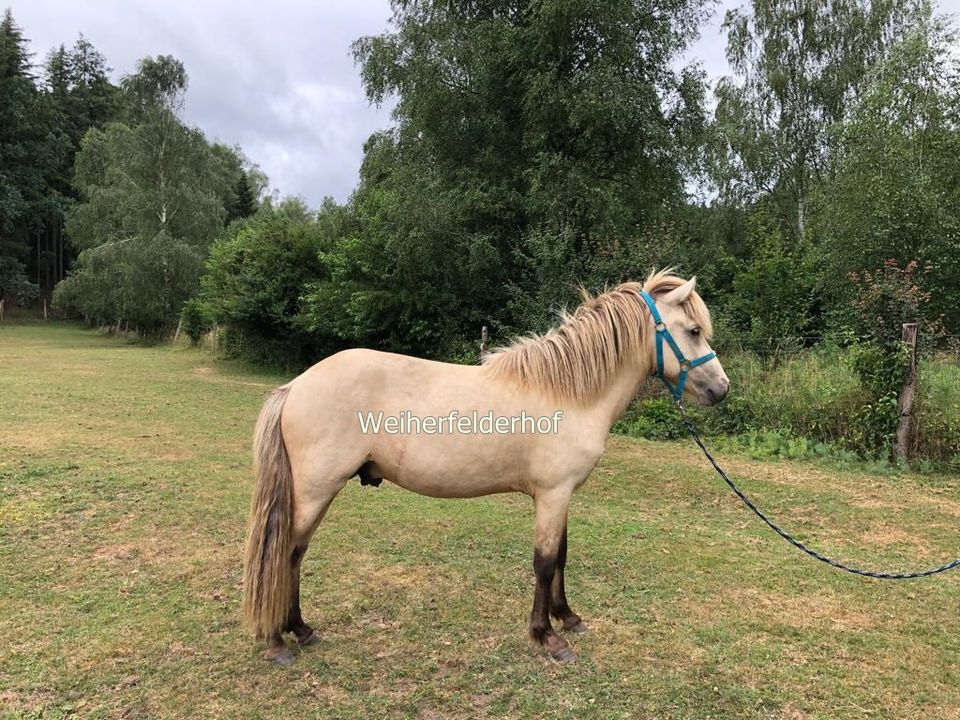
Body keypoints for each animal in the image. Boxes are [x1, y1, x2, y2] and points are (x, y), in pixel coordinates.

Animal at [240, 268, 728, 664]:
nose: (721, 389)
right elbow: (544, 562)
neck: (567, 392)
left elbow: (562, 555)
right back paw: (278, 641)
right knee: (282, 552)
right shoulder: (552, 494)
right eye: (693, 330)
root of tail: (295, 386)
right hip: (315, 490)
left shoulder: (562, 495)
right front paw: (547, 637)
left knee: (295, 553)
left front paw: (567, 617)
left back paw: (300, 630)